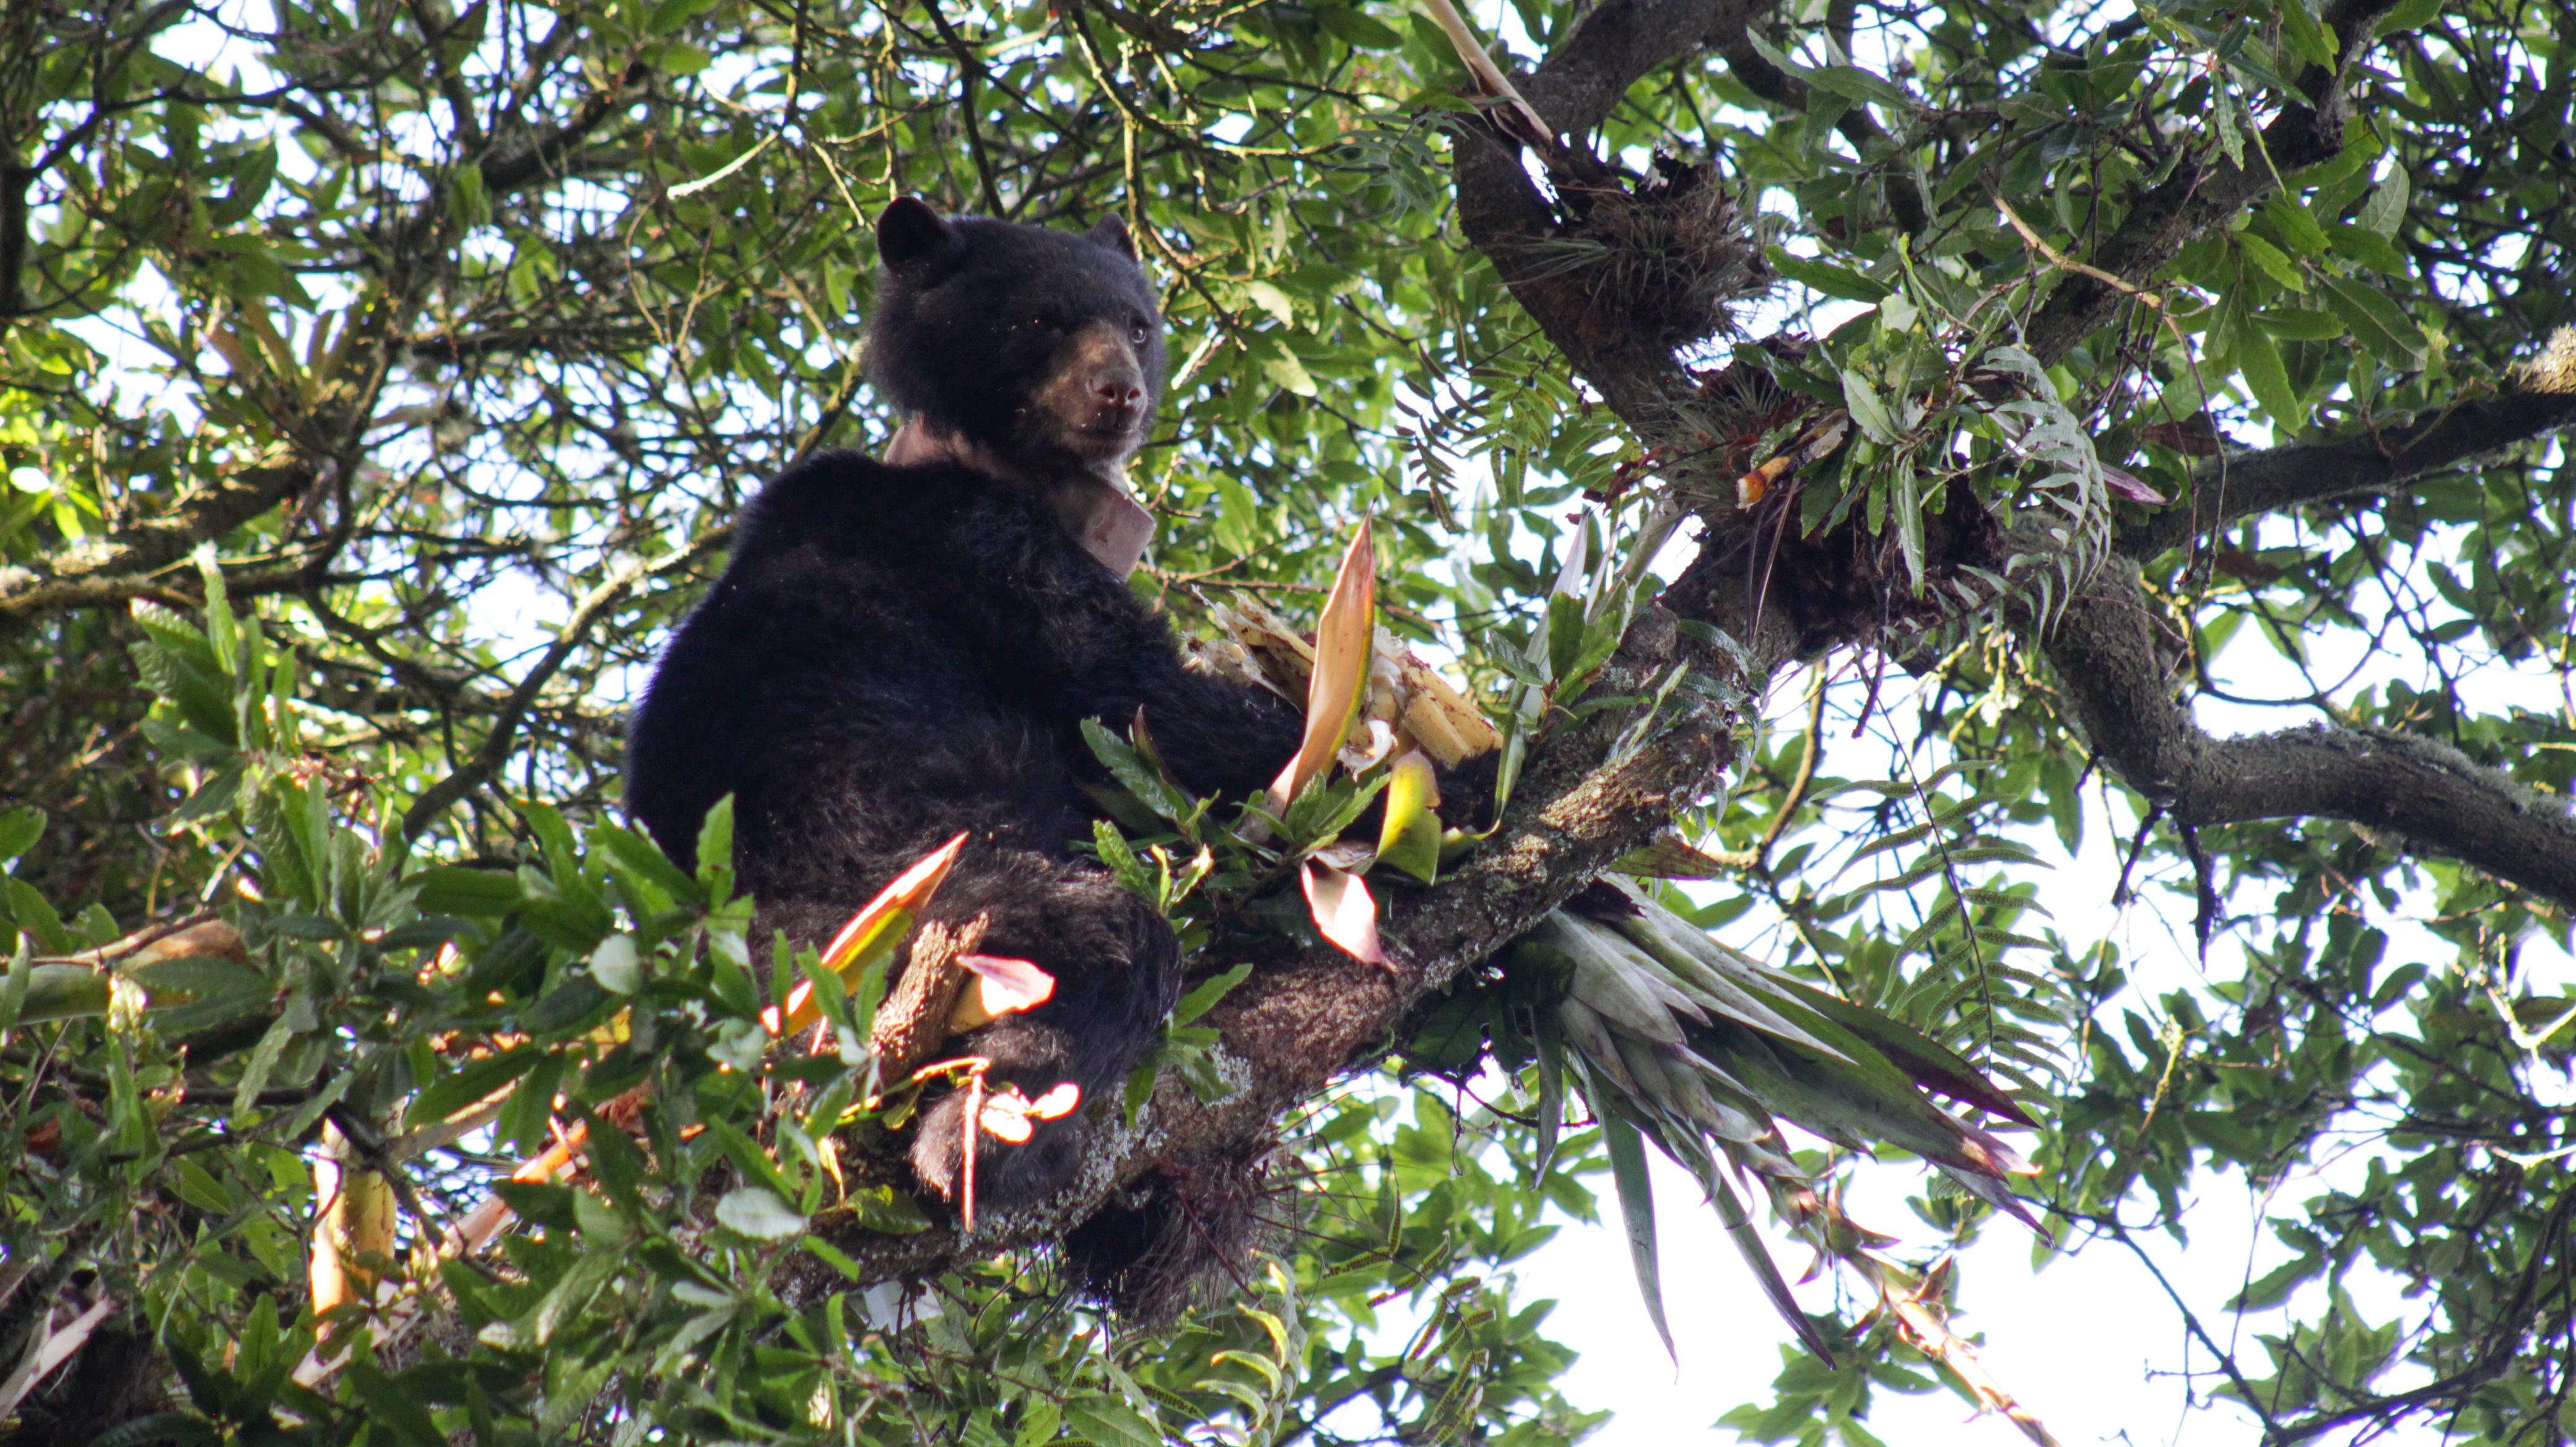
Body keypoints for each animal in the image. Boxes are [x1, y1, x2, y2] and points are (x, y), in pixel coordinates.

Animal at [624, 197, 1306, 1214]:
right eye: (1041, 320)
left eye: (1139, 326)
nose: (1117, 393)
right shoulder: (974, 547)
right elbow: (1137, 704)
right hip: (884, 916)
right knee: (1103, 941)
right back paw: (985, 1139)